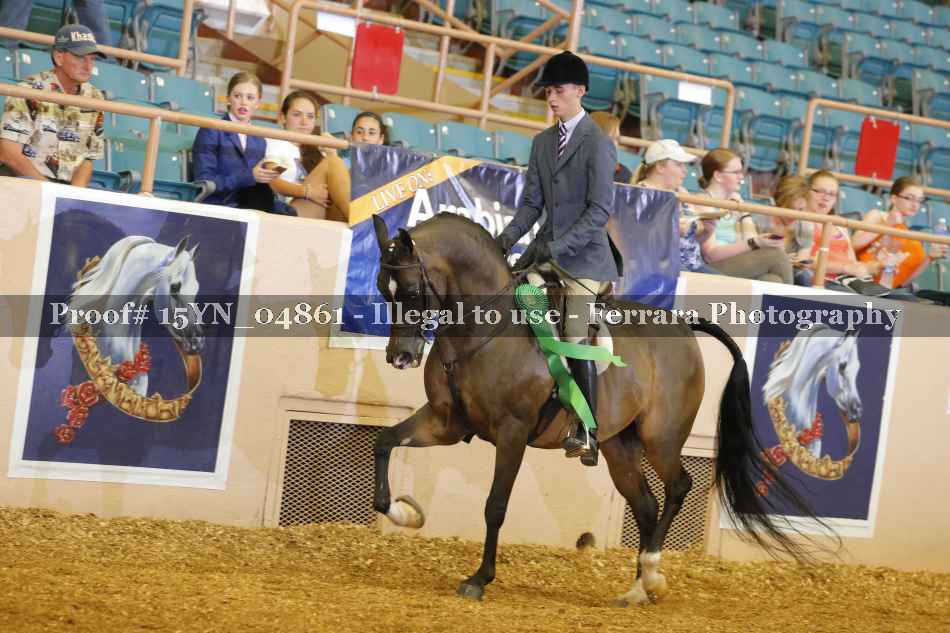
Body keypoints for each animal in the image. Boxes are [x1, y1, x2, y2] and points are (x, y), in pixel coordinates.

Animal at [370, 212, 824, 606]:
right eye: (381, 289)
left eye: (409, 290)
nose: (401, 357)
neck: (484, 332)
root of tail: (682, 325)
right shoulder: (444, 422)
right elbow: (385, 442)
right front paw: (404, 514)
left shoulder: (512, 432)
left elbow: (495, 506)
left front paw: (479, 579)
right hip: (619, 446)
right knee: (645, 504)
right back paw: (637, 589)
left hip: (661, 438)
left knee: (678, 487)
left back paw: (653, 572)